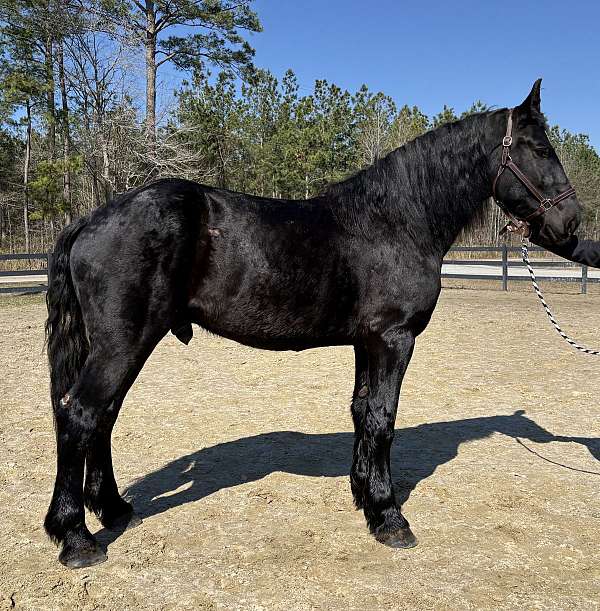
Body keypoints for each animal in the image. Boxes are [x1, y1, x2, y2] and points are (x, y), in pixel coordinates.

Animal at [45, 81, 580, 568]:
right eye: (539, 148)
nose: (571, 223)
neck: (397, 220)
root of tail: (90, 220)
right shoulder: (394, 339)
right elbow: (383, 419)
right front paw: (390, 518)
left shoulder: (368, 342)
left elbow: (363, 413)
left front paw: (365, 497)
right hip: (124, 343)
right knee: (82, 415)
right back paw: (75, 537)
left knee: (104, 417)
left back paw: (113, 509)